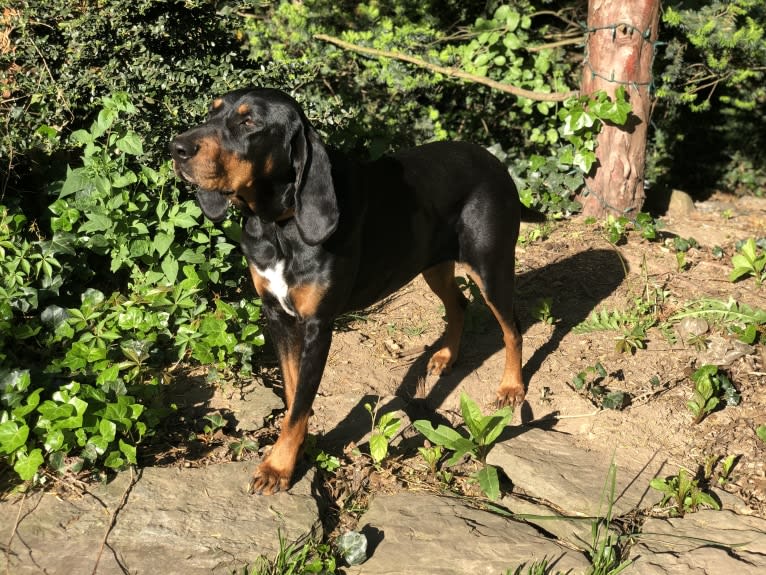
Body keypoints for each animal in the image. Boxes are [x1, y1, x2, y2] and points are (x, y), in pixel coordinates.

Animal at [171, 88, 544, 492]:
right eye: (212, 113)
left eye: (249, 121)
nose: (176, 147)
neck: (278, 228)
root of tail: (495, 163)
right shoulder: (277, 314)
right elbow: (293, 392)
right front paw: (297, 448)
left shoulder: (319, 326)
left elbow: (299, 402)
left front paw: (277, 467)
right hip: (432, 264)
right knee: (458, 304)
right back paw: (446, 356)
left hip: (491, 268)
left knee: (512, 327)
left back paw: (511, 388)